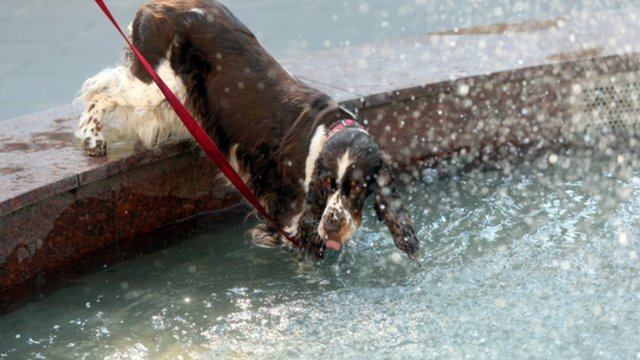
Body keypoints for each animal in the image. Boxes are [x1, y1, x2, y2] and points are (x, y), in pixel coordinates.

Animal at [76, 0, 420, 258]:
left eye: (358, 187)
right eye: (326, 184)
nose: (333, 226)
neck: (328, 130)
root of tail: (157, 5)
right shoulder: (291, 223)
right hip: (155, 86)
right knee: (100, 87)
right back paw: (92, 138)